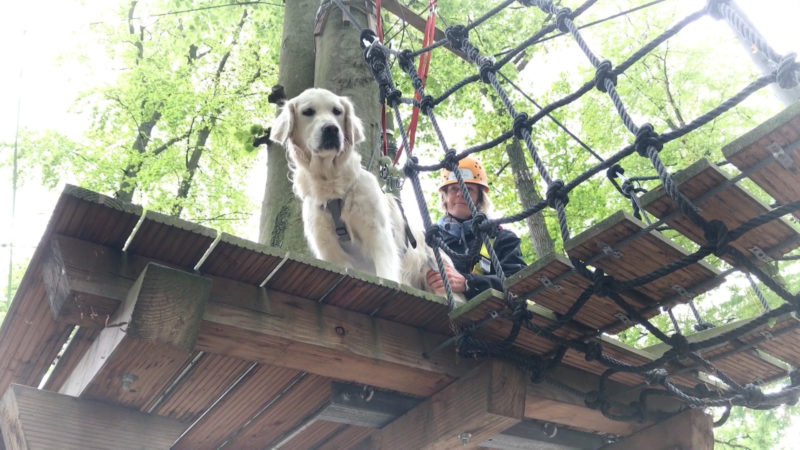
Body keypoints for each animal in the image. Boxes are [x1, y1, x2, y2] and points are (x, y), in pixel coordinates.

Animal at [272, 88, 466, 304]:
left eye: (337, 111)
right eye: (308, 112)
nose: (331, 129)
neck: (332, 185)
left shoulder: (378, 234)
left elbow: (385, 273)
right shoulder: (329, 248)